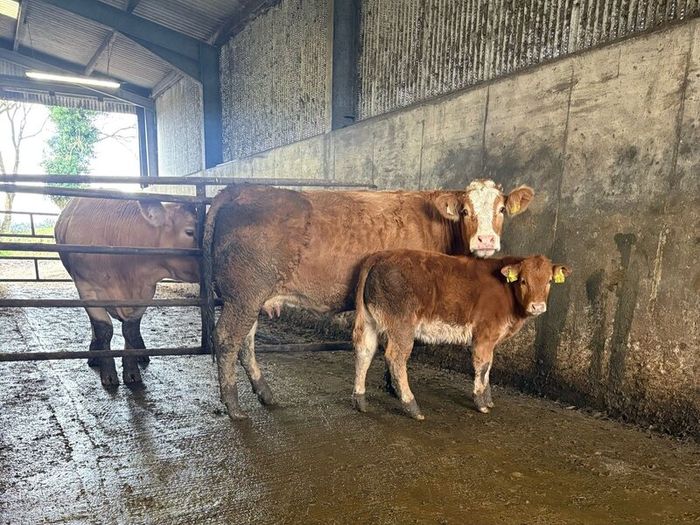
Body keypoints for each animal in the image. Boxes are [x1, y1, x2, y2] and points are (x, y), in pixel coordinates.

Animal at [54, 198, 199, 386]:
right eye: (190, 231)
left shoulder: (145, 291)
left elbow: (130, 329)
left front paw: (132, 372)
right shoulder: (86, 288)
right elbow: (103, 329)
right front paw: (108, 373)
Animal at [205, 179, 534, 419]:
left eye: (501, 209)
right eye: (466, 211)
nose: (485, 240)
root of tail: (240, 188)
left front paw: (391, 387)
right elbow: (396, 349)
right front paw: (397, 389)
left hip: (249, 299)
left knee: (246, 344)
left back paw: (265, 393)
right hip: (243, 296)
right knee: (227, 339)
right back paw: (234, 406)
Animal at [351, 251, 572, 419]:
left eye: (549, 281)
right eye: (524, 281)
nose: (538, 306)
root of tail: (379, 255)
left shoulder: (491, 339)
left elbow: (489, 366)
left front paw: (488, 400)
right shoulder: (484, 334)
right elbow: (482, 366)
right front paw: (481, 403)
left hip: (369, 320)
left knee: (365, 350)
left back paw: (360, 400)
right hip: (402, 325)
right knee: (396, 358)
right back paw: (412, 406)